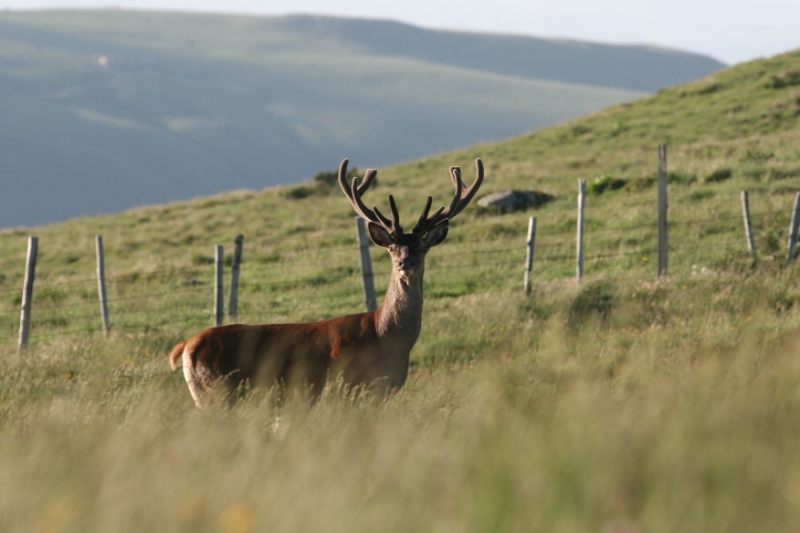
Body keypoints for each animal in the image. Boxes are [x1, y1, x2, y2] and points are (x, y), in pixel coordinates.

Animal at [169, 158, 484, 406]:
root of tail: (184, 347)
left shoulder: (383, 392)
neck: (385, 340)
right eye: (392, 248)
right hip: (214, 392)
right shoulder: (344, 386)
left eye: (422, 246)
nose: (405, 264)